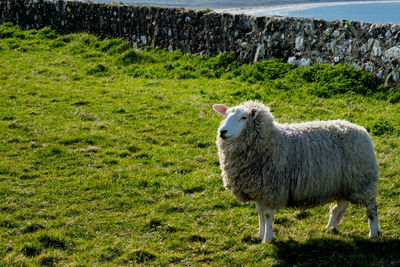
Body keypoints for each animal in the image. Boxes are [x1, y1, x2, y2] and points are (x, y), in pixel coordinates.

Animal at [212, 100, 382, 243]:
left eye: (243, 117)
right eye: (226, 115)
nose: (222, 131)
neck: (269, 142)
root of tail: (361, 129)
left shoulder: (272, 188)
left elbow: (267, 215)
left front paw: (267, 239)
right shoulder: (259, 188)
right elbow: (259, 213)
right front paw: (260, 234)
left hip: (363, 180)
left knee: (371, 207)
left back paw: (373, 232)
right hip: (345, 182)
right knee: (341, 205)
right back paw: (330, 227)